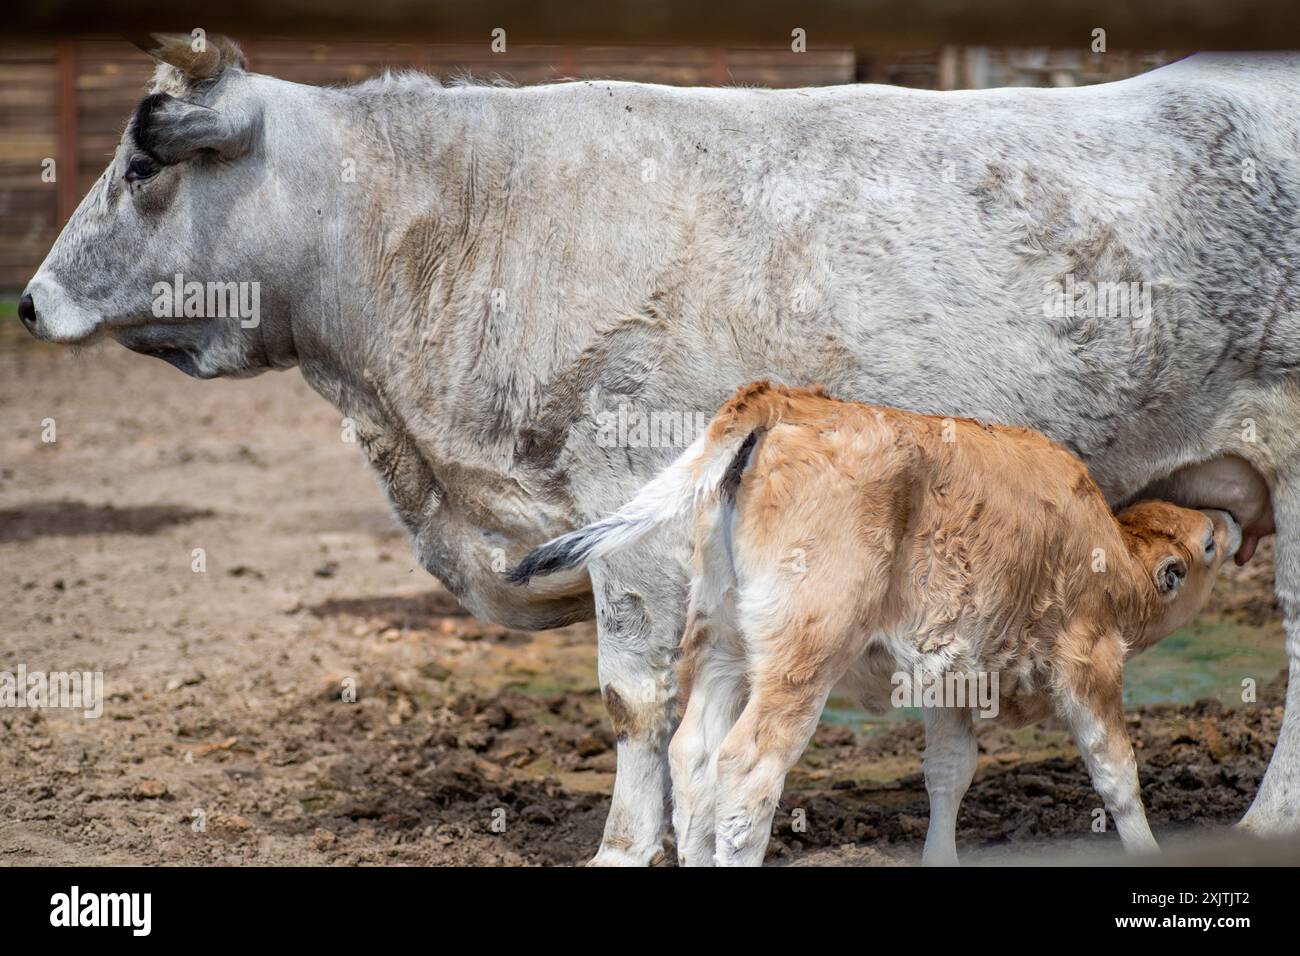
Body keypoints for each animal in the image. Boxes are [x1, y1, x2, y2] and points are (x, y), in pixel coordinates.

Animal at [17, 37, 1300, 863]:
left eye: (141, 167)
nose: (27, 302)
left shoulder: (629, 508)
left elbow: (633, 701)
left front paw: (626, 845)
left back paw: (1262, 821)